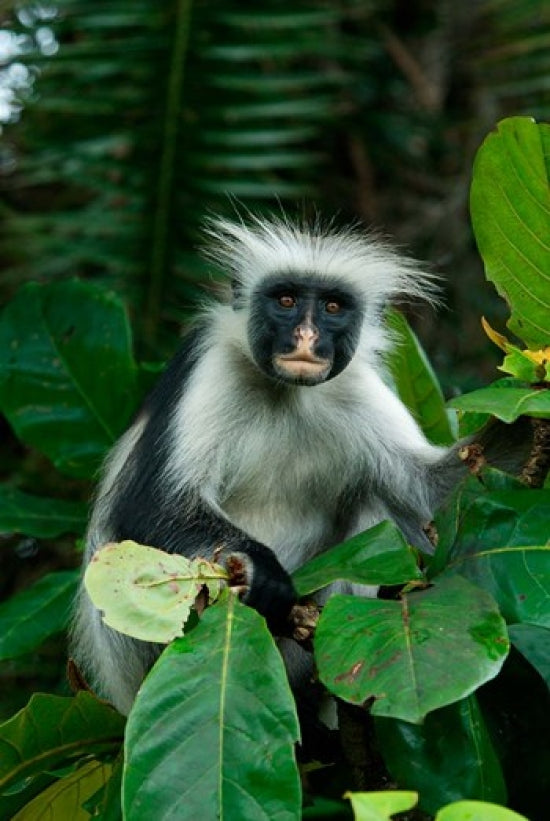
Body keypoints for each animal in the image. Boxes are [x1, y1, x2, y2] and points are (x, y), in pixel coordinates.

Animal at [71, 215, 477, 715]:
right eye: (285, 301)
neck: (288, 393)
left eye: (333, 306)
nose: (306, 337)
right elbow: (149, 505)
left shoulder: (355, 384)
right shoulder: (209, 364)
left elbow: (426, 491)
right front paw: (263, 571)